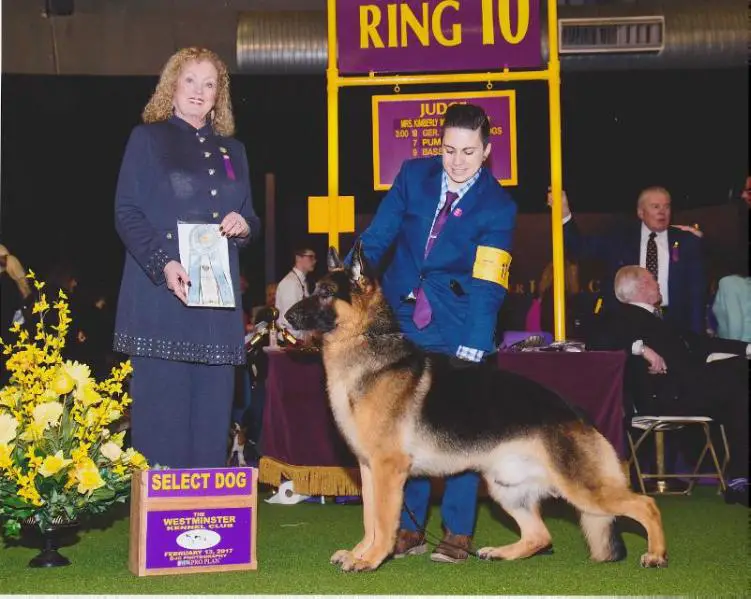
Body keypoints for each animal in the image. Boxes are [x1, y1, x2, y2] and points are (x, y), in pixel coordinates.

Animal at [284, 243, 668, 572]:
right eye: (312, 289)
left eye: (325, 293)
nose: (285, 315)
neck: (367, 344)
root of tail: (576, 412)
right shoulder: (368, 468)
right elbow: (369, 518)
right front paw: (360, 553)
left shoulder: (388, 469)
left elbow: (382, 519)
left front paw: (372, 559)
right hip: (505, 487)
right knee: (541, 535)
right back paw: (500, 553)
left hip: (581, 489)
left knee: (645, 505)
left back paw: (656, 554)